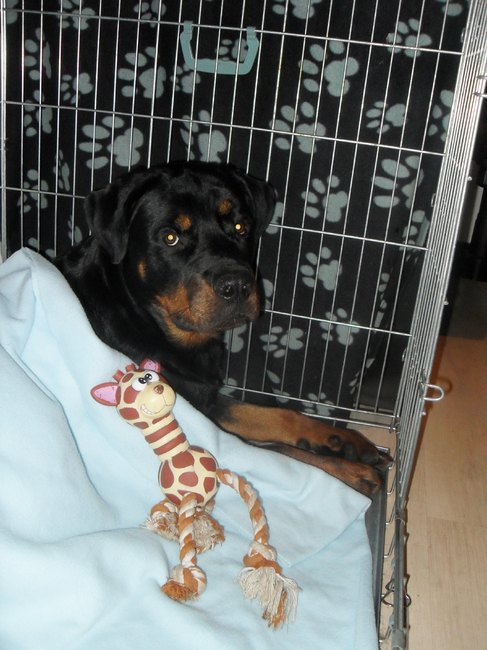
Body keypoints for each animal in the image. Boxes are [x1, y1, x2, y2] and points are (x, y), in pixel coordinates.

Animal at [56, 161, 388, 496]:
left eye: (240, 228)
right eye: (170, 237)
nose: (237, 285)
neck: (144, 319)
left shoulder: (205, 398)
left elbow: (272, 413)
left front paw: (344, 440)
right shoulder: (194, 407)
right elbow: (278, 453)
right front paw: (352, 472)